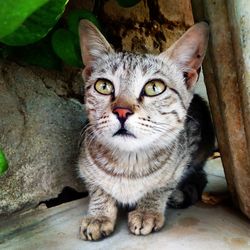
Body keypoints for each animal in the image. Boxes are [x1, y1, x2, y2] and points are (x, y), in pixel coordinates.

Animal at [77, 20, 214, 240]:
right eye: (103, 86)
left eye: (154, 87)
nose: (122, 111)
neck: (128, 163)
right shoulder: (84, 165)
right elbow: (97, 188)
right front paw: (99, 215)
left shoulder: (184, 156)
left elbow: (162, 186)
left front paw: (147, 211)